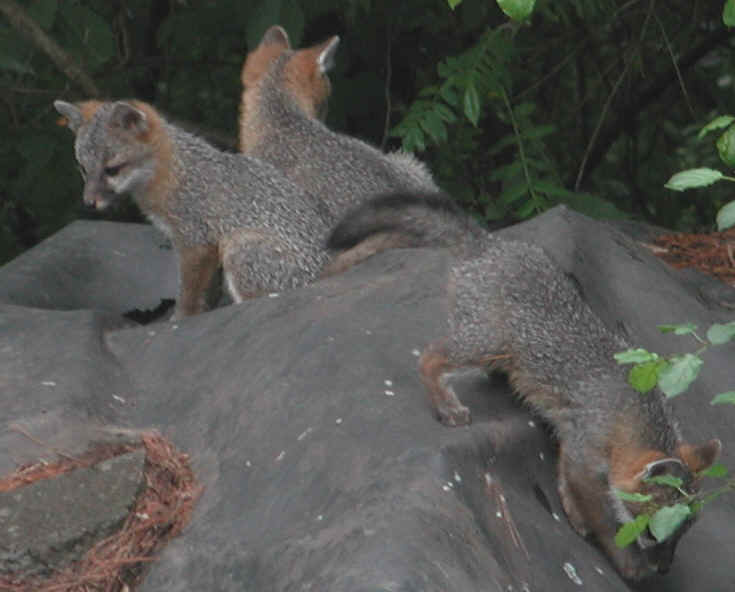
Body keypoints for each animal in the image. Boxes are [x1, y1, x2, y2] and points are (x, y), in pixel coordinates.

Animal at [54, 99, 330, 319]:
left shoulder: (195, 241)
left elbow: (187, 291)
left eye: (112, 170)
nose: (89, 203)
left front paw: (180, 318)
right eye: (83, 169)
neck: (174, 172)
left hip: (237, 247)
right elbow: (205, 292)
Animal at [418, 238, 721, 579]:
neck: (630, 411)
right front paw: (627, 562)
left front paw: (572, 510)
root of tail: (488, 242)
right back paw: (447, 405)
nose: (664, 569)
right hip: (486, 345)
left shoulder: (573, 440)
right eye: (652, 534)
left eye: (684, 532)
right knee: (428, 358)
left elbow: (565, 476)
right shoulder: (585, 455)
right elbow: (605, 521)